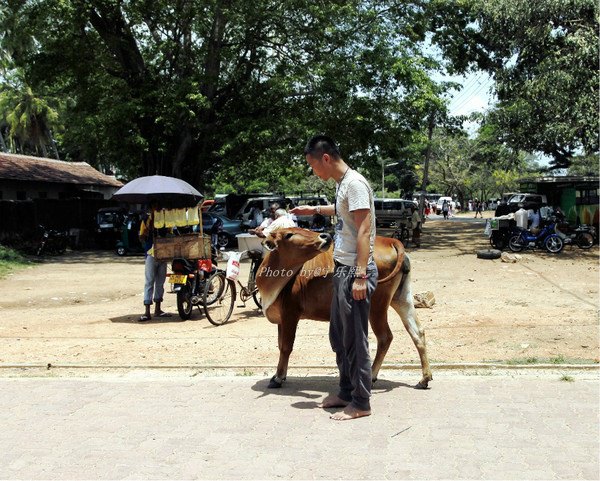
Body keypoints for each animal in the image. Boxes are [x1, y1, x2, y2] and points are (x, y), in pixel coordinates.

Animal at [256, 227, 432, 388]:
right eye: (289, 234)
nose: (325, 236)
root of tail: (390, 241)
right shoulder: (282, 318)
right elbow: (280, 345)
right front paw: (280, 375)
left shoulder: (290, 312)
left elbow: (286, 347)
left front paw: (278, 377)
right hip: (401, 298)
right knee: (417, 331)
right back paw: (424, 378)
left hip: (377, 306)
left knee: (385, 337)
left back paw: (372, 376)